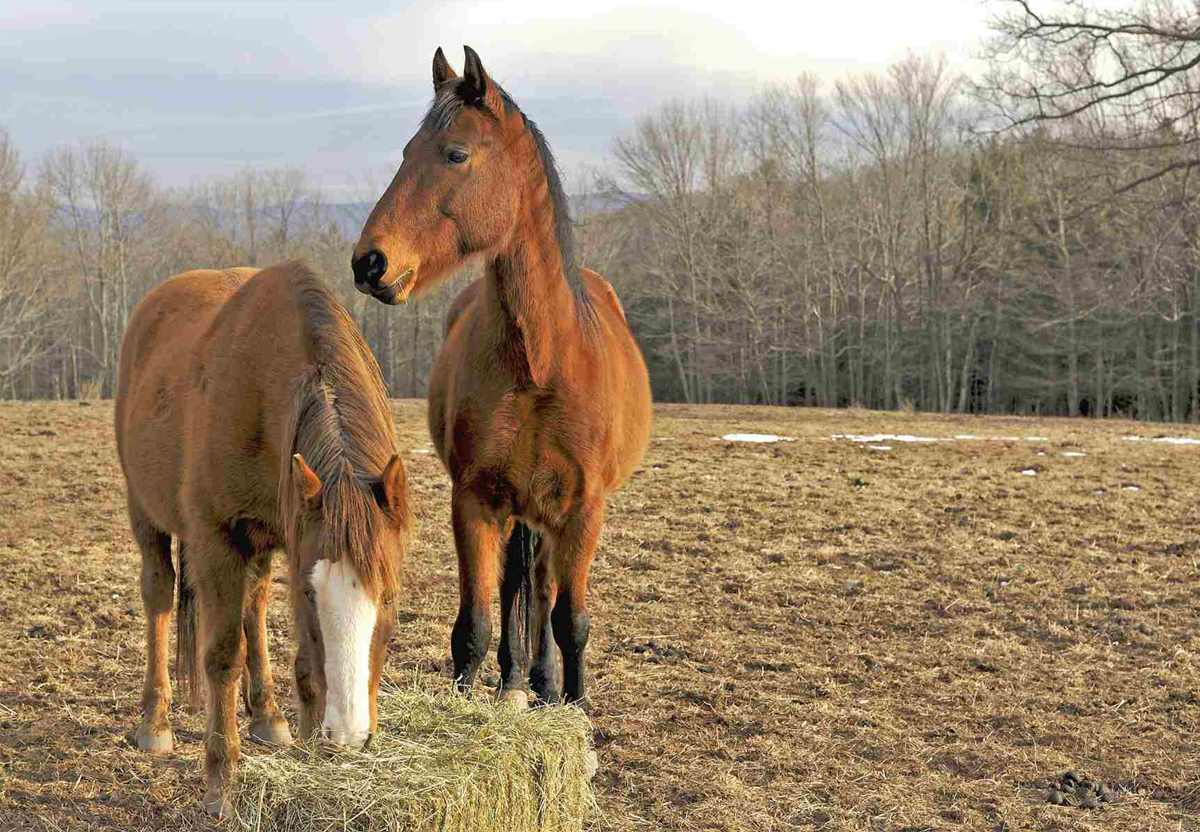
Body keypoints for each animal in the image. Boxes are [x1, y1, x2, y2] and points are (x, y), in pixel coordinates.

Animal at [114, 261, 411, 817]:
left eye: (390, 596)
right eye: (310, 594)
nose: (352, 734)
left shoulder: (290, 537)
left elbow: (302, 661)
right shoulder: (216, 540)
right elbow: (222, 656)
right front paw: (221, 782)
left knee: (252, 604)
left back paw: (268, 717)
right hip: (146, 515)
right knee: (159, 595)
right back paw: (154, 722)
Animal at [351, 46, 652, 711]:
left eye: (456, 154)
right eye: (406, 151)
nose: (369, 262)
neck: (541, 362)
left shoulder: (583, 509)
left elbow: (570, 620)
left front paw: (574, 705)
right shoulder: (475, 500)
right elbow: (476, 624)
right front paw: (472, 695)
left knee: (540, 589)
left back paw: (542, 682)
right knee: (518, 583)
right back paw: (517, 678)